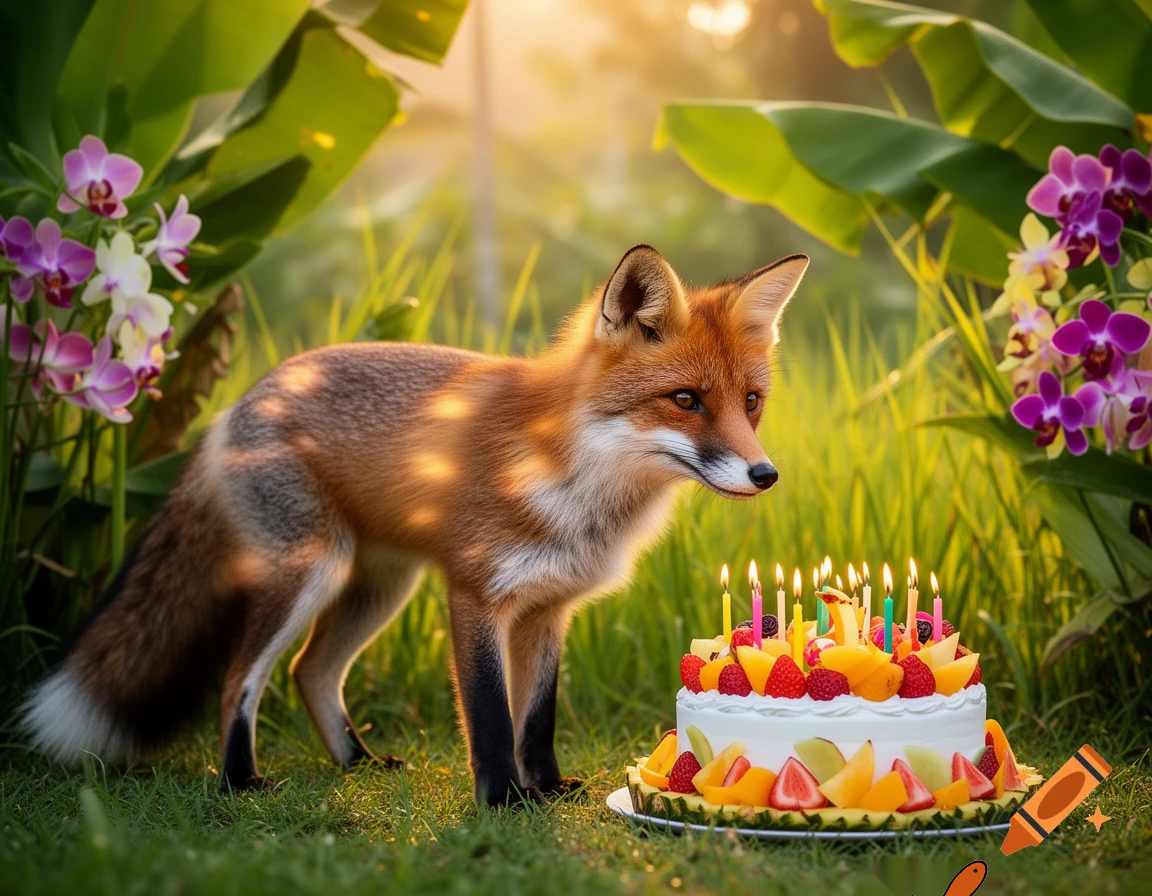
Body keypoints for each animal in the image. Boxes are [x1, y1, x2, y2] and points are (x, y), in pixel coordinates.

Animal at [21, 245, 808, 806]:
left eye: (751, 401)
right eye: (686, 400)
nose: (766, 474)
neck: (575, 480)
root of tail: (237, 404)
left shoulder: (549, 609)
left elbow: (537, 717)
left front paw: (548, 787)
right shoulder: (475, 594)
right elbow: (491, 716)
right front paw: (503, 800)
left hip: (379, 588)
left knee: (311, 672)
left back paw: (357, 763)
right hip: (310, 573)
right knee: (240, 679)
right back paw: (240, 781)